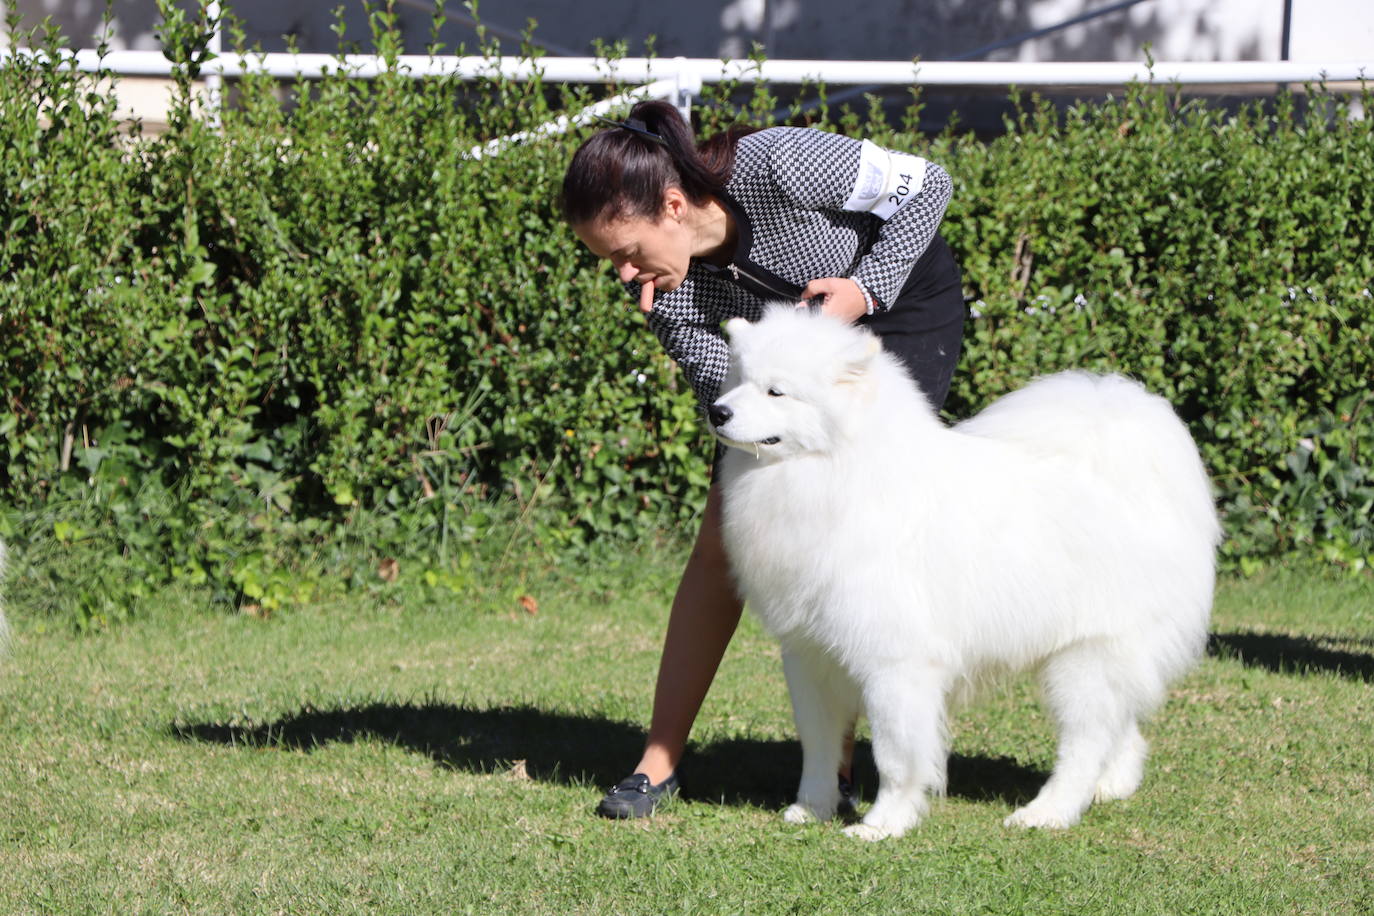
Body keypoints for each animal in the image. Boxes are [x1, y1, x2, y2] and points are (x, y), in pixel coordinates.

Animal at [714, 306, 1220, 840]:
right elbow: (818, 747)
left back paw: (1047, 812)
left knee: (1084, 745)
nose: (717, 411)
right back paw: (1111, 785)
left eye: (777, 391)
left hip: (1086, 659)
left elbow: (897, 757)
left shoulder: (895, 664)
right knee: (1121, 728)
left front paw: (883, 825)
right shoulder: (810, 656)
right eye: (739, 380)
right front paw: (811, 809)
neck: (838, 472)